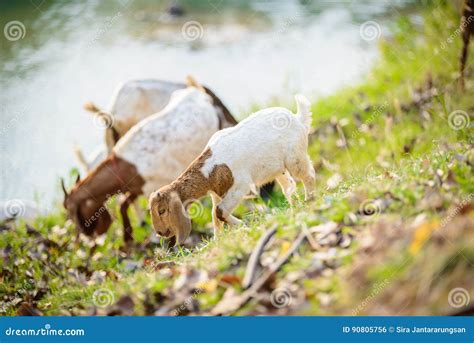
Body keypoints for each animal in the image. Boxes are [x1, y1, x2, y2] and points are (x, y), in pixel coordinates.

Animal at [148, 94, 314, 245]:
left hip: (295, 158)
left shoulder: (240, 186)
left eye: (162, 210)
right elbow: (214, 216)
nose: (160, 232)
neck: (209, 169)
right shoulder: (216, 194)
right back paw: (294, 207)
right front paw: (218, 240)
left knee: (308, 175)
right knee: (289, 186)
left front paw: (242, 225)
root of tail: (297, 118)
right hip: (279, 169)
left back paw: (309, 200)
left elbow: (219, 211)